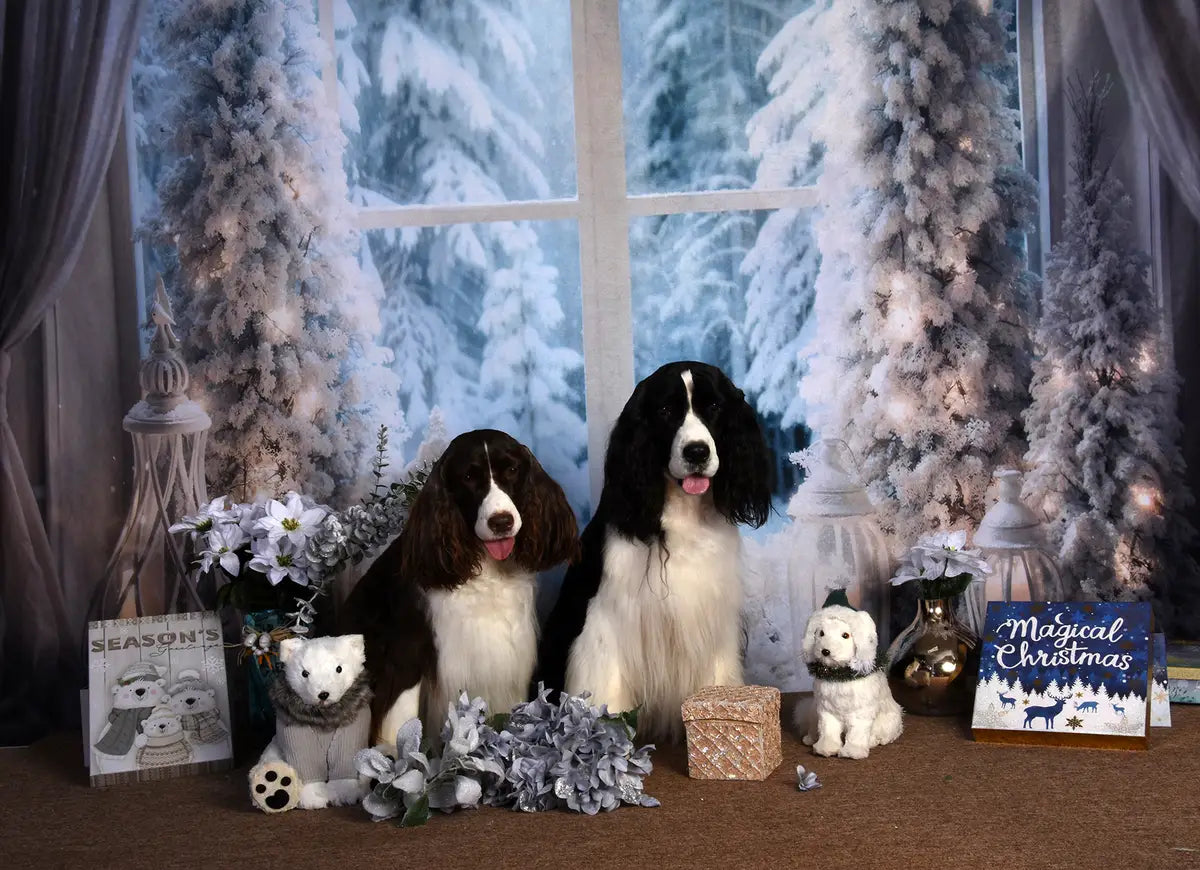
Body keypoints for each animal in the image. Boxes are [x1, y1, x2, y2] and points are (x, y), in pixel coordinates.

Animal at [340, 427, 578, 739]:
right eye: (467, 477)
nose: (501, 521)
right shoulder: (406, 654)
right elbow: (398, 724)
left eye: (512, 469)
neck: (485, 568)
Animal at [535, 360, 768, 739]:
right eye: (665, 411)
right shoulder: (606, 619)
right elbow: (606, 688)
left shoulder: (711, 613)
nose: (697, 452)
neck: (683, 513)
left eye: (714, 407)